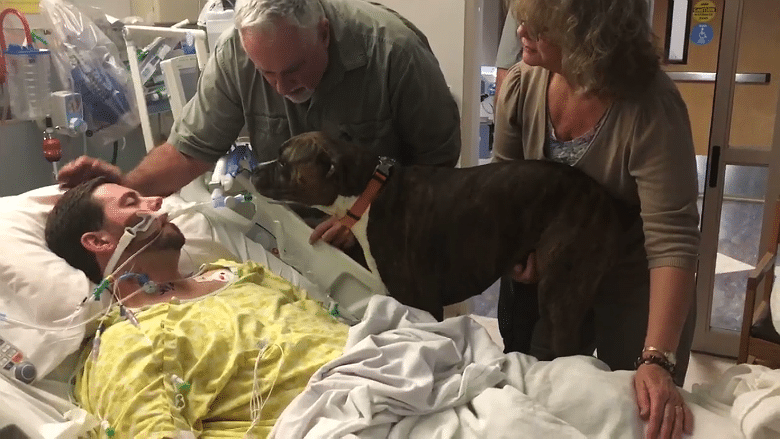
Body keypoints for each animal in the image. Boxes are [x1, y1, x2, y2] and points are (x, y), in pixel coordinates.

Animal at [253, 131, 636, 358]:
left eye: (284, 162)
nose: (254, 169)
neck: (370, 192)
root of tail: (604, 199)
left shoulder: (423, 304)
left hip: (560, 298)